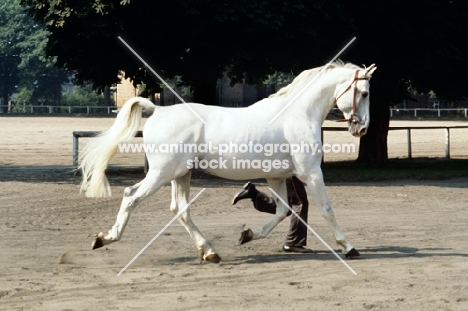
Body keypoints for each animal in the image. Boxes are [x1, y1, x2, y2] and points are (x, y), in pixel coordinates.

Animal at [79, 61, 376, 264]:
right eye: (363, 93)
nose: (362, 129)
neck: (297, 114)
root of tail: (158, 110)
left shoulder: (277, 177)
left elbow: (283, 211)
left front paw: (247, 235)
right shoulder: (311, 173)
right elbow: (326, 209)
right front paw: (349, 247)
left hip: (180, 174)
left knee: (180, 209)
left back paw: (210, 252)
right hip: (162, 173)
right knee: (131, 196)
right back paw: (104, 238)